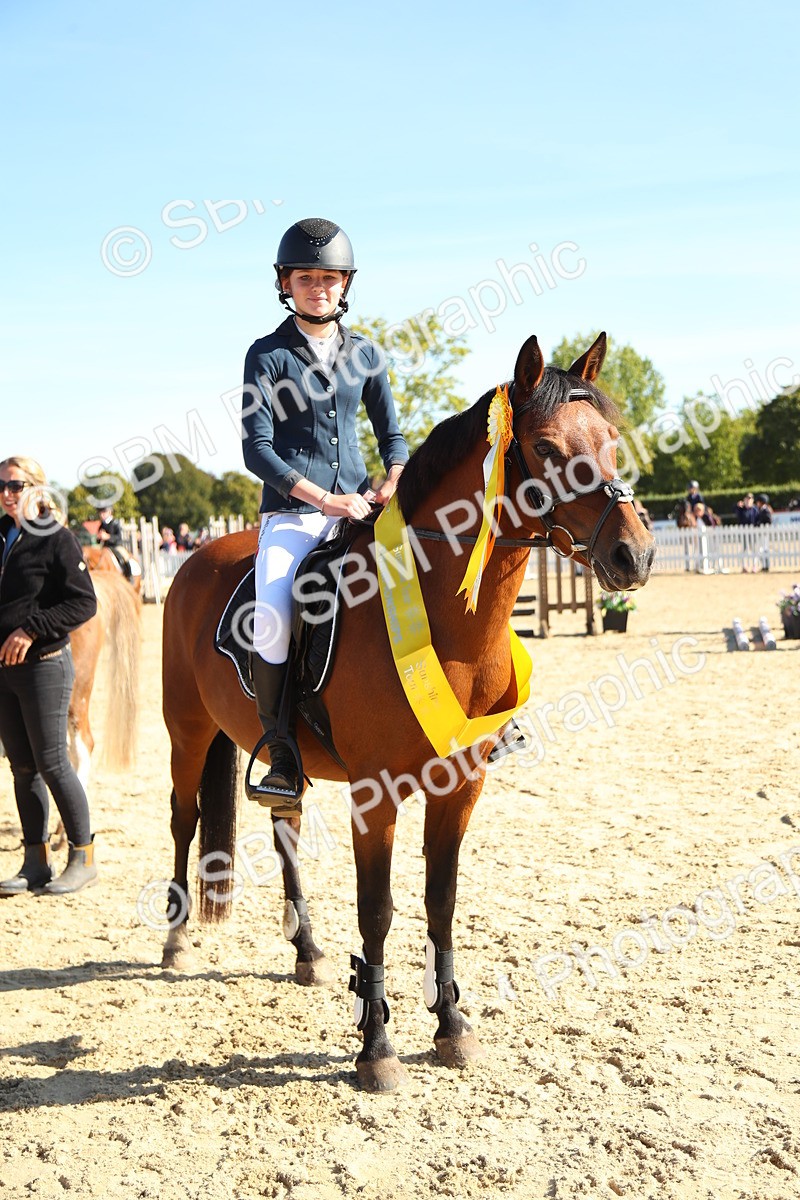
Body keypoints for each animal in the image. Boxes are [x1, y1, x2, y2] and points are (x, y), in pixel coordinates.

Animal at [160, 332, 655, 1091]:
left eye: (611, 441)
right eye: (545, 447)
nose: (635, 554)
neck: (449, 627)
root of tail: (197, 558)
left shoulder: (461, 785)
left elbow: (440, 901)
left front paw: (451, 1026)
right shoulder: (377, 794)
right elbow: (378, 910)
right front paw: (376, 1048)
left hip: (275, 760)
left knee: (284, 826)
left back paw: (307, 952)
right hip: (187, 733)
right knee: (185, 822)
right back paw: (176, 940)